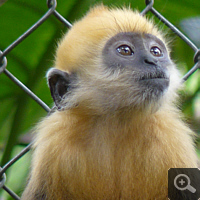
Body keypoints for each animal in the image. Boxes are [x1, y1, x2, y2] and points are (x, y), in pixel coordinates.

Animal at [21, 4, 199, 200]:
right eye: (125, 50)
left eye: (156, 51)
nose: (152, 61)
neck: (115, 123)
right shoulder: (53, 144)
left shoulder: (172, 140)